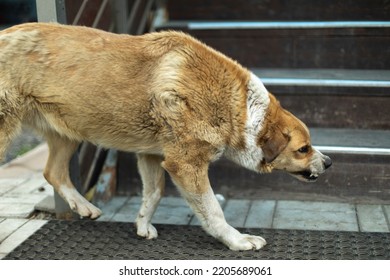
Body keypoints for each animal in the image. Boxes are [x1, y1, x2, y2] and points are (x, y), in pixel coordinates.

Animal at [0, 23, 330, 250]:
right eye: (303, 149)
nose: (328, 162)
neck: (240, 107)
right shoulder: (186, 165)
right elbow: (213, 210)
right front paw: (237, 240)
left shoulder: (152, 155)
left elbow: (154, 193)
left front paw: (143, 225)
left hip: (69, 131)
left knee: (52, 172)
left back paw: (84, 206)